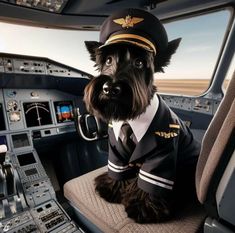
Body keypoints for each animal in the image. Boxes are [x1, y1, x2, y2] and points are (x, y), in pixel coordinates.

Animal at [83, 9, 199, 224]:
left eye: (139, 62)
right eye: (108, 60)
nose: (110, 88)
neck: (130, 119)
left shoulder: (162, 155)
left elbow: (150, 180)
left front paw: (144, 207)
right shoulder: (115, 150)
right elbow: (117, 170)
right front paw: (111, 187)